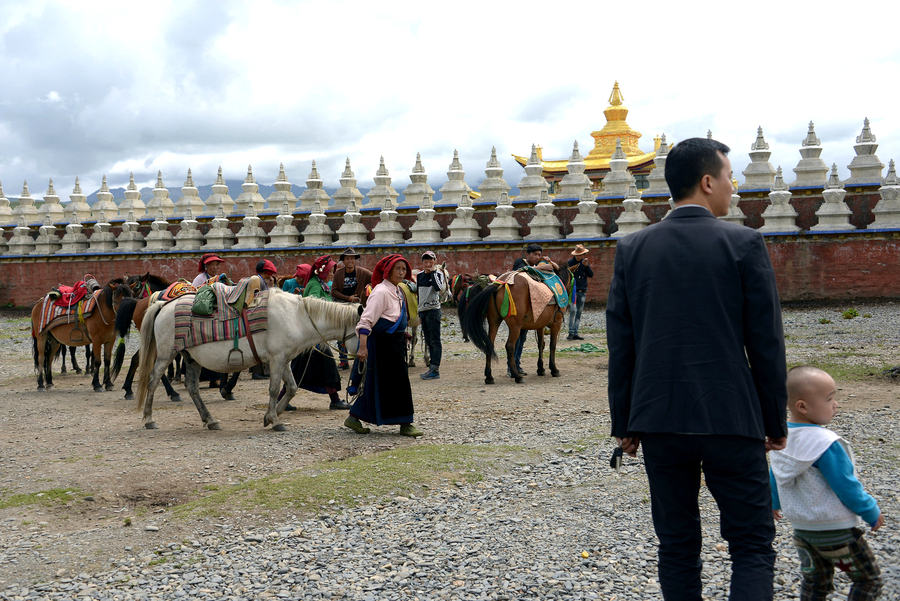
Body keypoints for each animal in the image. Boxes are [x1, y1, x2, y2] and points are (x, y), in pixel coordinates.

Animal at [135, 288, 360, 432]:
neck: (296, 317)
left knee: (192, 387)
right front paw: (275, 421)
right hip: (166, 354)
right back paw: (149, 419)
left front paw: (270, 416)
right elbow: (274, 389)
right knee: (153, 380)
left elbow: (292, 387)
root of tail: (164, 304)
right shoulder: (276, 359)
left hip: (191, 358)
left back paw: (210, 420)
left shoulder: (285, 360)